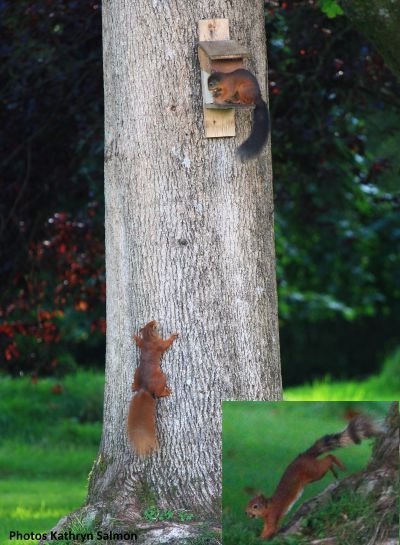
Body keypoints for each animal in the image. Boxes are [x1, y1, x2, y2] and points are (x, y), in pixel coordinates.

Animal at [127, 318, 179, 454]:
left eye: (149, 324)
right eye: (154, 326)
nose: (155, 320)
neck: (148, 340)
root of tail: (144, 387)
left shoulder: (143, 344)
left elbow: (138, 342)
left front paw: (134, 336)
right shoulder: (159, 344)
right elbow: (166, 344)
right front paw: (174, 335)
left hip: (136, 374)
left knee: (136, 384)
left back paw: (134, 386)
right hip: (162, 377)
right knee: (158, 393)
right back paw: (166, 392)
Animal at [245, 414, 382, 536]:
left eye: (255, 506)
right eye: (249, 502)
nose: (245, 512)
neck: (269, 506)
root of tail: (306, 455)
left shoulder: (273, 515)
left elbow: (270, 530)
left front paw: (260, 539)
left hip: (314, 471)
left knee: (328, 458)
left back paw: (340, 466)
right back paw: (335, 471)